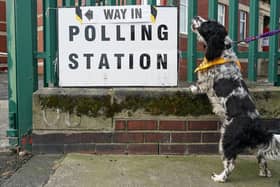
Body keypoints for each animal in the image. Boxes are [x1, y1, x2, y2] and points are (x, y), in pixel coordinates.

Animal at [190, 16, 280, 183]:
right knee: (262, 157)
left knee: (230, 163)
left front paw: (192, 88)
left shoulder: (207, 81)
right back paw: (264, 173)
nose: (196, 17)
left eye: (207, 24)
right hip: (254, 145)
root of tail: (256, 125)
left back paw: (219, 177)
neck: (222, 50)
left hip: (226, 139)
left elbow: (200, 85)